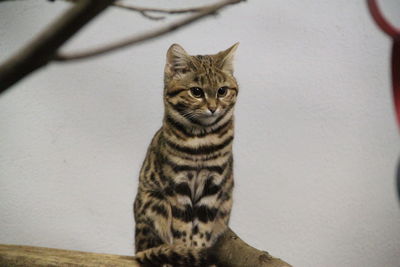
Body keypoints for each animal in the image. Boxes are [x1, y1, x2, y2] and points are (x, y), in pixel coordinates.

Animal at [133, 43, 239, 266]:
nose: (213, 108)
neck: (201, 138)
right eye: (196, 92)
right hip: (153, 203)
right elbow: (182, 226)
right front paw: (185, 250)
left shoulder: (213, 184)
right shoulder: (177, 183)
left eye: (222, 91)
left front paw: (197, 249)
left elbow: (203, 228)